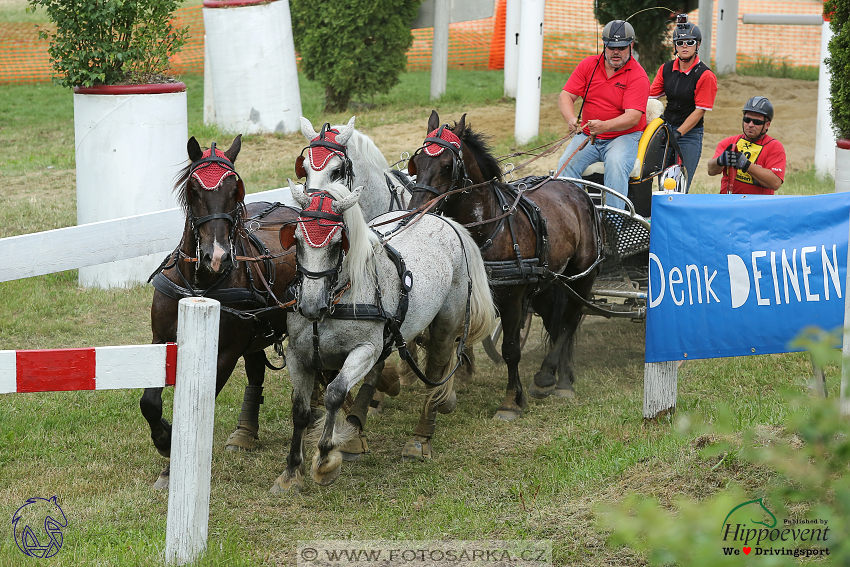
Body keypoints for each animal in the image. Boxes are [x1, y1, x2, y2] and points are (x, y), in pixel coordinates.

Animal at [272, 183, 496, 492]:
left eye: (337, 243)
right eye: (296, 239)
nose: (310, 306)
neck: (339, 298)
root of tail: (444, 221)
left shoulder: (364, 349)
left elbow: (335, 393)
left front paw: (326, 458)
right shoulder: (298, 355)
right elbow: (300, 409)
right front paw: (292, 471)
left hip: (446, 323)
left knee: (436, 369)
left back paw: (421, 437)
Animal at [406, 111, 600, 422]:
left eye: (448, 166)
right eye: (417, 162)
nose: (416, 210)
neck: (487, 227)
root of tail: (577, 189)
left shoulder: (513, 299)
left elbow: (510, 349)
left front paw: (510, 401)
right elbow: (450, 341)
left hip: (580, 277)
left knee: (569, 322)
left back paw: (548, 377)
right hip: (547, 284)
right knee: (556, 324)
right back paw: (563, 378)